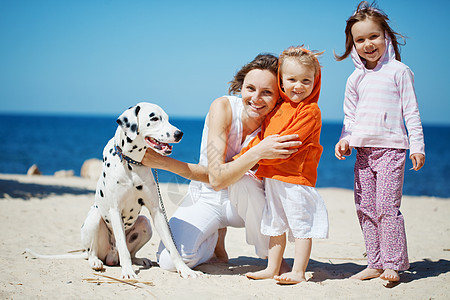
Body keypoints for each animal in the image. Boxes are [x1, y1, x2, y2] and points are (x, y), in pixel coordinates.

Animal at [26, 102, 199, 278]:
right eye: (155, 118)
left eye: (168, 118)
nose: (179, 134)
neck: (131, 163)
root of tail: (111, 256)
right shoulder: (115, 210)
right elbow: (122, 246)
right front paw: (128, 271)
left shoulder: (156, 210)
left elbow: (172, 246)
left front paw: (184, 270)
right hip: (95, 219)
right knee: (93, 252)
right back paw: (96, 262)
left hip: (146, 223)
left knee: (131, 252)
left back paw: (139, 260)